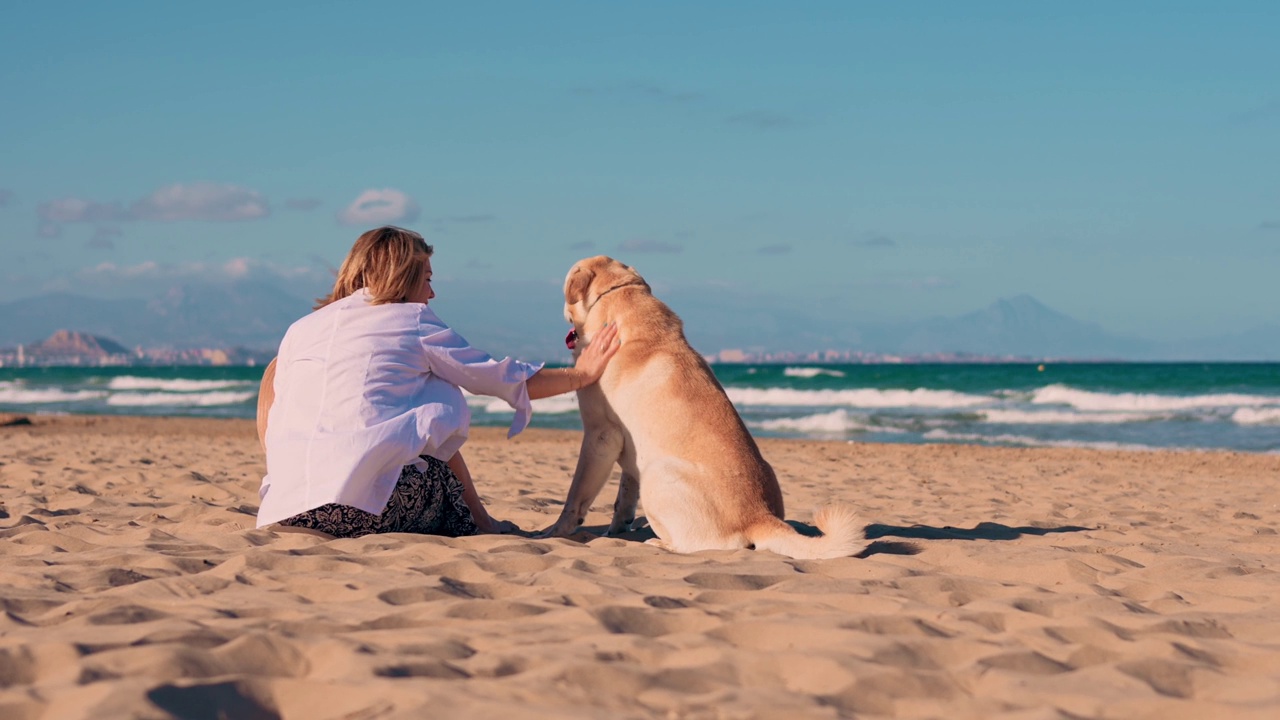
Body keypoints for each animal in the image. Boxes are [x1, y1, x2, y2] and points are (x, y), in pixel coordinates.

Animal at [535, 254, 865, 558]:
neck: (617, 298)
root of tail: (760, 517)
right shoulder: (631, 446)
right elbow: (624, 497)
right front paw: (617, 528)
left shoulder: (600, 435)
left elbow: (576, 496)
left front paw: (556, 530)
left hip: (657, 472)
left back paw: (659, 542)